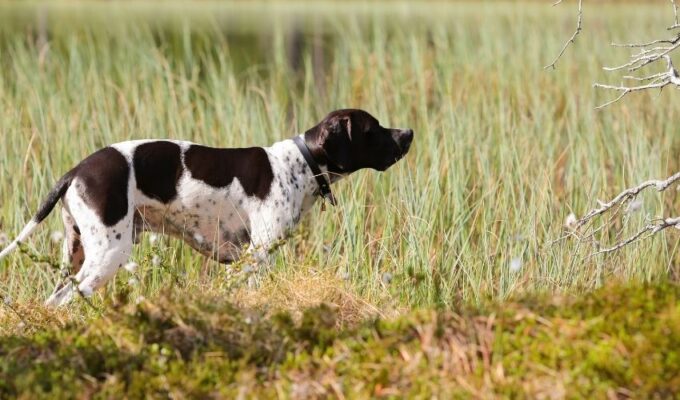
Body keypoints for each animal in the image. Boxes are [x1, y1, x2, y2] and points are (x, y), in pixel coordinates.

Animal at [0, 109, 412, 306]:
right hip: (108, 256)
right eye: (373, 129)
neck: (300, 163)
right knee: (67, 300)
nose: (408, 133)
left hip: (78, 255)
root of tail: (76, 171)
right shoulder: (257, 255)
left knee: (53, 300)